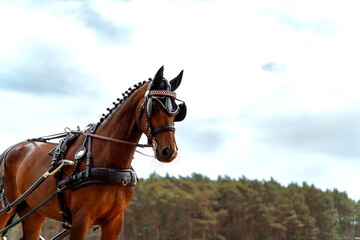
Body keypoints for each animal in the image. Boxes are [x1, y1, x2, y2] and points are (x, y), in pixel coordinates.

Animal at [0, 66, 187, 240]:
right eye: (154, 107)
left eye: (177, 111)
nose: (169, 151)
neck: (109, 163)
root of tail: (8, 151)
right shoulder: (81, 219)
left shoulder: (114, 222)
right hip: (6, 207)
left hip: (33, 211)